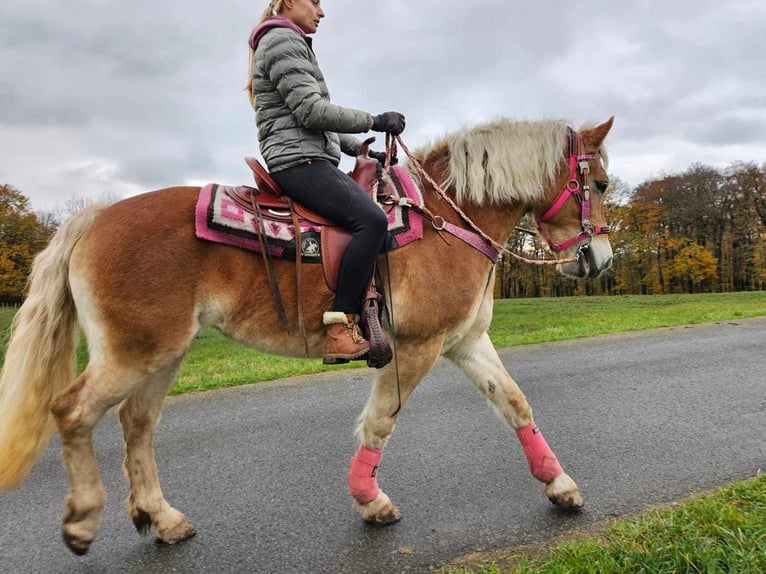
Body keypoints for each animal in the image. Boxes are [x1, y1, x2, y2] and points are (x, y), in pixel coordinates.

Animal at [0, 115, 616, 556]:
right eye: (601, 182)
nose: (601, 260)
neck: (445, 219)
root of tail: (94, 218)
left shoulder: (465, 342)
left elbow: (514, 402)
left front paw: (559, 485)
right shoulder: (415, 347)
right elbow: (381, 420)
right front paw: (370, 501)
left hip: (163, 352)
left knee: (137, 423)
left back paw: (163, 518)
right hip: (134, 352)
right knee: (73, 411)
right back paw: (82, 522)